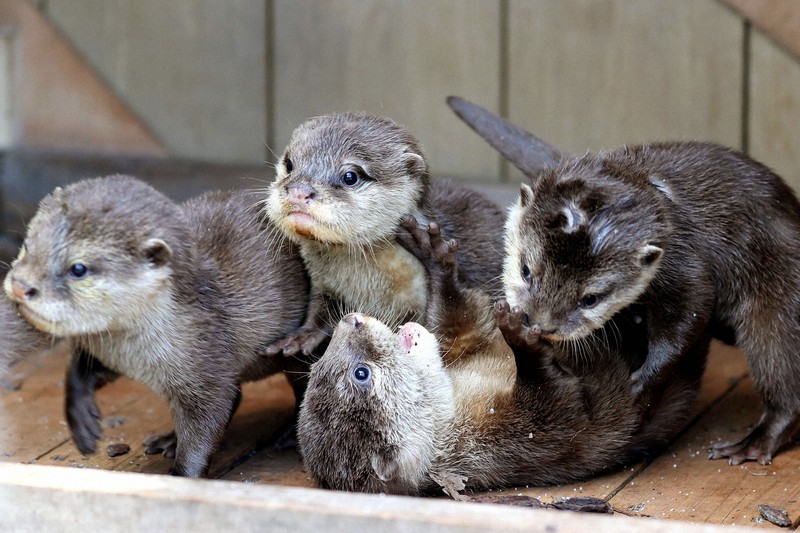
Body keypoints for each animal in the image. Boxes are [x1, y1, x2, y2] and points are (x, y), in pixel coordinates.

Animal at [3, 176, 310, 478]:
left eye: (78, 269)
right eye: (28, 246)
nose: (20, 287)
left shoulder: (206, 364)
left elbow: (206, 425)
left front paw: (183, 475)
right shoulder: (108, 351)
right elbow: (79, 370)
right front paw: (82, 419)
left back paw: (288, 436)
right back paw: (170, 441)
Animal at [260, 111, 504, 358]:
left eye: (350, 176)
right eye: (289, 164)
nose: (298, 192)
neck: (372, 289)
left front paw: (434, 255)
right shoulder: (322, 283)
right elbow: (320, 307)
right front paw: (303, 334)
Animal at [296, 217, 696, 494]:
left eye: (318, 365)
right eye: (360, 374)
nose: (350, 320)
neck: (463, 404)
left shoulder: (468, 346)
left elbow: (463, 319)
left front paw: (433, 256)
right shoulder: (515, 442)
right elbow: (562, 408)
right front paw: (521, 341)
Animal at [446, 95, 800, 466]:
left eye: (591, 298)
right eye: (526, 269)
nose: (540, 324)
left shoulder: (682, 262)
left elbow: (690, 315)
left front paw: (641, 387)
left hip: (780, 294)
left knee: (781, 363)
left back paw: (755, 441)